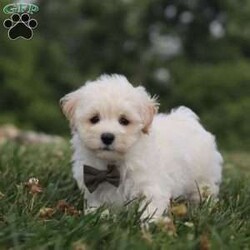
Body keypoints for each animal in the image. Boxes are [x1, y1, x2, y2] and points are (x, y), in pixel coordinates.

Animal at [60, 74, 223, 219]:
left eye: (124, 121)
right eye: (94, 119)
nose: (107, 137)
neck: (113, 165)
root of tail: (187, 118)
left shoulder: (151, 185)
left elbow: (151, 207)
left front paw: (150, 224)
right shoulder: (93, 187)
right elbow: (96, 206)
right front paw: (96, 216)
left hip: (203, 176)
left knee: (204, 191)